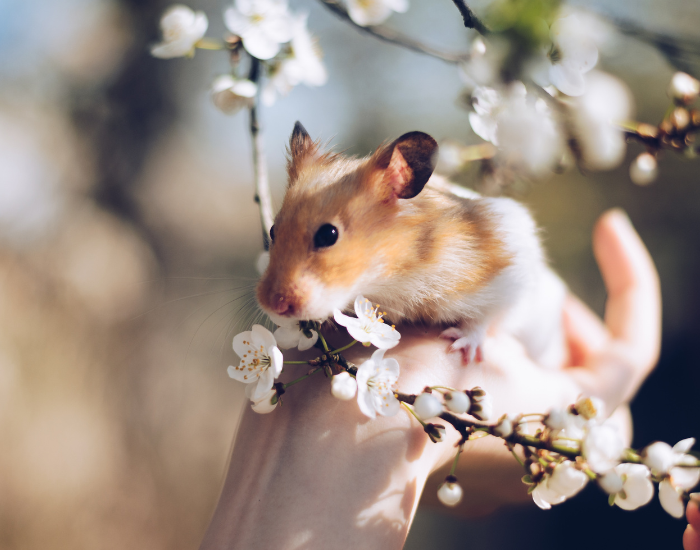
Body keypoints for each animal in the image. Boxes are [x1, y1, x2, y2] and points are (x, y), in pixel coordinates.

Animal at [256, 122, 566, 367]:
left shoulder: (512, 269)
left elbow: (487, 317)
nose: (272, 305)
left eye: (328, 235)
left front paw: (460, 346)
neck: (394, 275)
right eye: (272, 230)